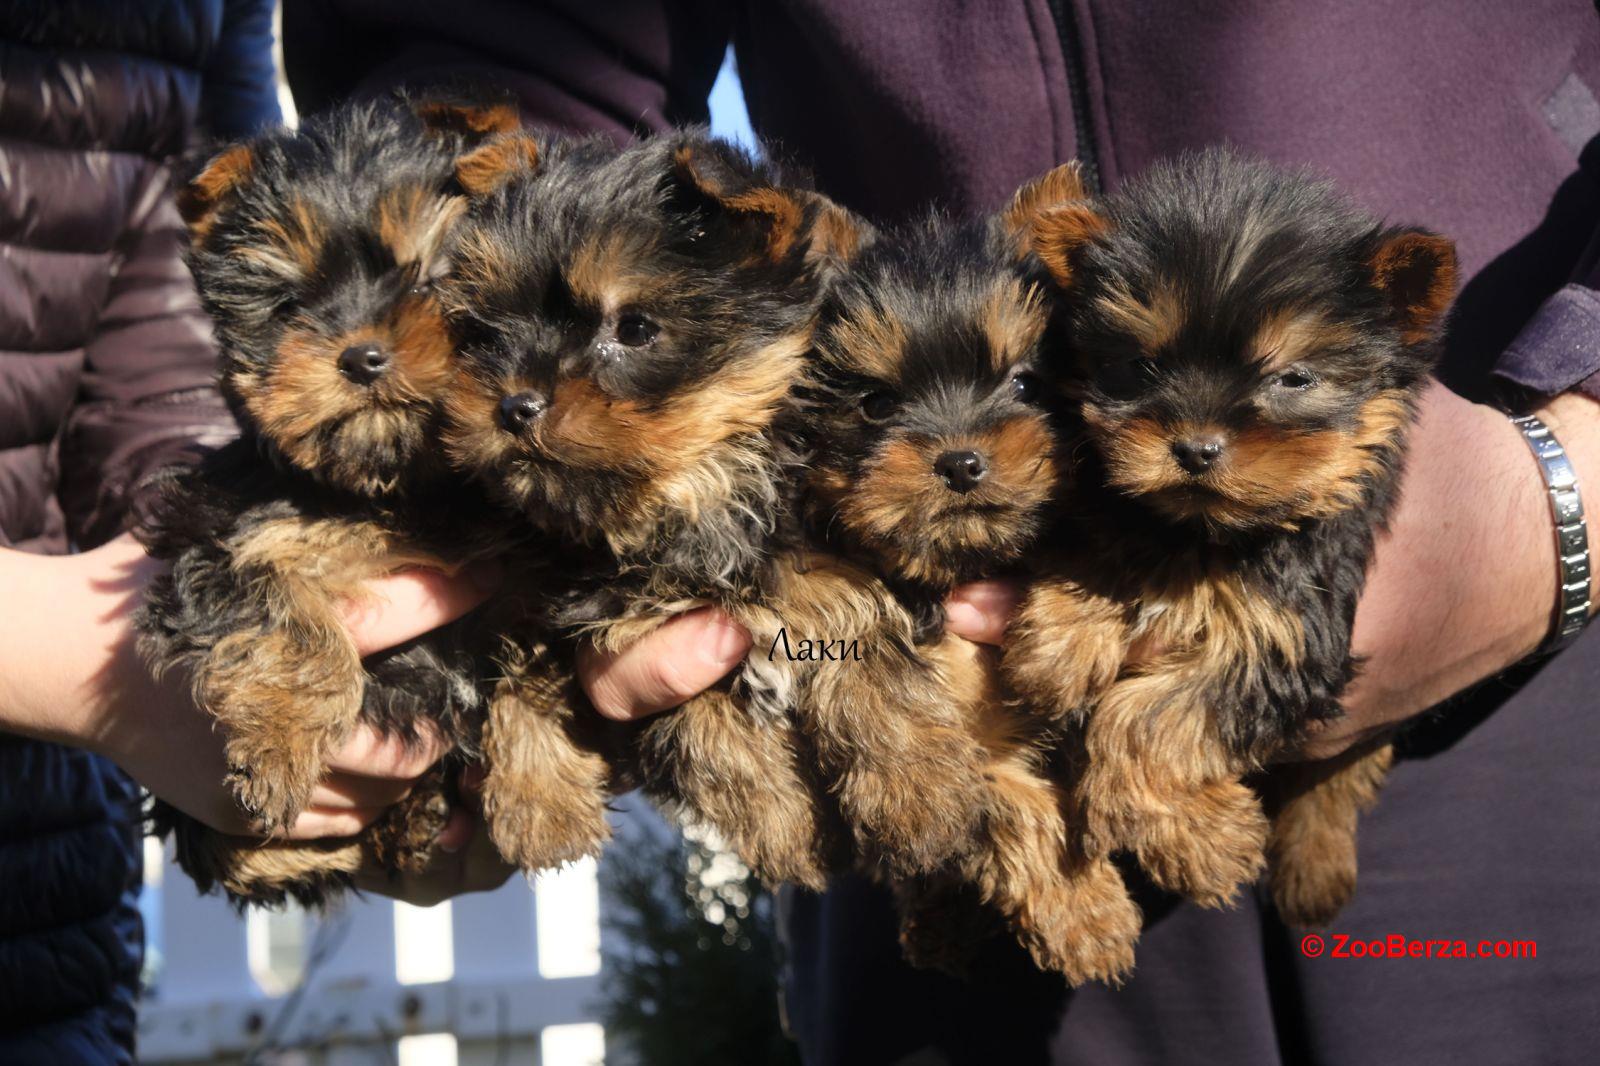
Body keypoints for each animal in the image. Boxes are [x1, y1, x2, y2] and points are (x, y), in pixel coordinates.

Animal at [137, 95, 524, 902]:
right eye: (290, 305)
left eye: (434, 278)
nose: (361, 355)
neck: (390, 484)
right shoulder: (221, 539)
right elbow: (286, 616)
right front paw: (280, 755)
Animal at [438, 128, 985, 883]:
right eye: (488, 334)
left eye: (634, 328)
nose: (514, 405)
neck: (694, 497)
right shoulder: (629, 631)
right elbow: (694, 722)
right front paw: (783, 821)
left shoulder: (841, 564)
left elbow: (868, 641)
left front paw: (919, 793)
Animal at [806, 166, 1145, 979]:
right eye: (875, 403)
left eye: (1023, 386)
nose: (961, 461)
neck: (957, 563)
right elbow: (1001, 799)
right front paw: (920, 794)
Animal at [1011, 149, 1465, 921]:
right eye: (1139, 366)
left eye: (1294, 378)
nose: (1195, 449)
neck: (1206, 533)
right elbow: (1101, 546)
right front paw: (1059, 646)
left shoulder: (1286, 634)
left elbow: (1149, 715)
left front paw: (1203, 840)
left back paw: (1312, 864)